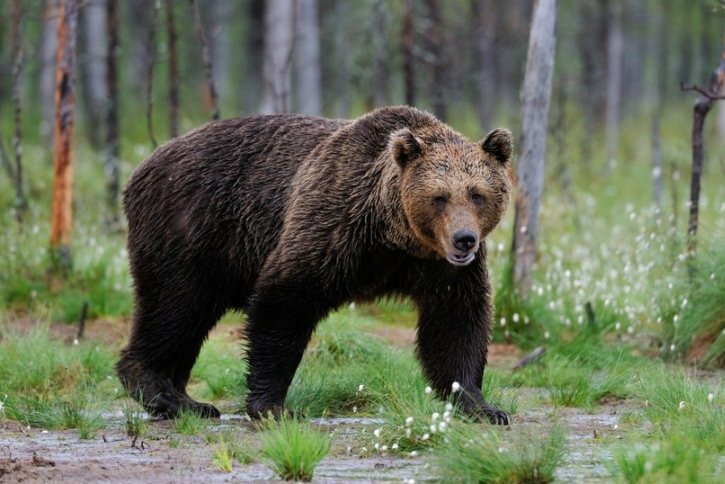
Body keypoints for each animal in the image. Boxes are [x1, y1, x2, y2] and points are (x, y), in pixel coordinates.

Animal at [116, 105, 512, 424]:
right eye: (439, 197)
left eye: (477, 193)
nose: (464, 239)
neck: (394, 235)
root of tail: (142, 165)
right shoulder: (334, 224)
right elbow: (285, 298)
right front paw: (273, 405)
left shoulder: (438, 266)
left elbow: (456, 321)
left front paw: (482, 406)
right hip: (190, 229)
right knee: (175, 307)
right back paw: (165, 393)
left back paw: (186, 399)